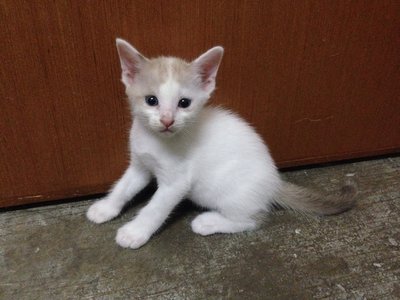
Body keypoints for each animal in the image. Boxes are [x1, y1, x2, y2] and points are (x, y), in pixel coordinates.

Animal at [86, 38, 356, 248]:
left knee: (252, 220)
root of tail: (275, 182)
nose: (167, 120)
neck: (156, 140)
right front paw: (105, 208)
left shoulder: (176, 181)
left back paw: (209, 221)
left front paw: (135, 232)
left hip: (229, 194)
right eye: (151, 100)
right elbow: (124, 186)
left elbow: (155, 208)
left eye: (184, 103)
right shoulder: (140, 164)